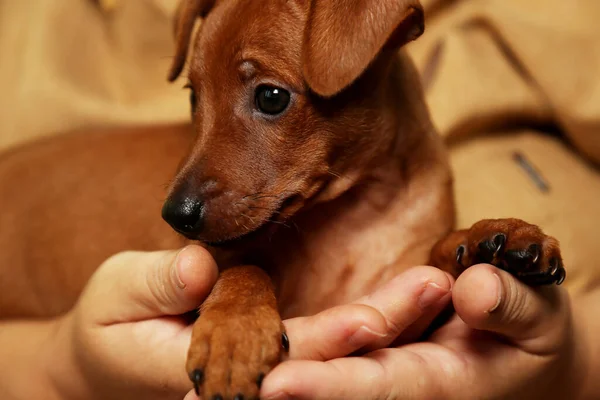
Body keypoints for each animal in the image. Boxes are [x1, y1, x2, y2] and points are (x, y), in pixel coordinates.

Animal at [0, 0, 564, 400]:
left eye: (271, 97)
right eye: (194, 97)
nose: (175, 216)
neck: (353, 218)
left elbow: (443, 253)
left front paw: (497, 238)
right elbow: (245, 269)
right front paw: (234, 334)